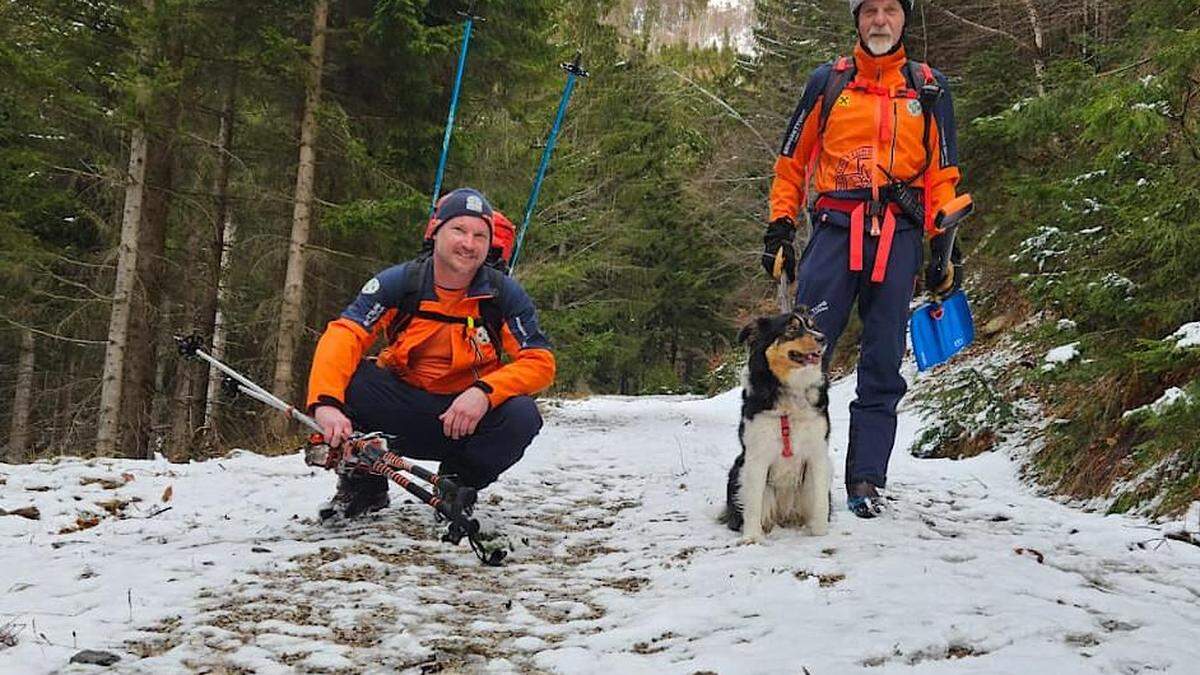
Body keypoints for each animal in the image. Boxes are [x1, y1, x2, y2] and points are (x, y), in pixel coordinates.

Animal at [715, 307, 830, 538]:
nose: (823, 338)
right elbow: (753, 503)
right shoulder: (756, 455)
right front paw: (751, 538)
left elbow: (821, 501)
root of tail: (784, 516)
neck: (789, 392)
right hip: (738, 470)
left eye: (812, 325)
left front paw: (820, 533)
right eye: (792, 328)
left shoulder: (818, 452)